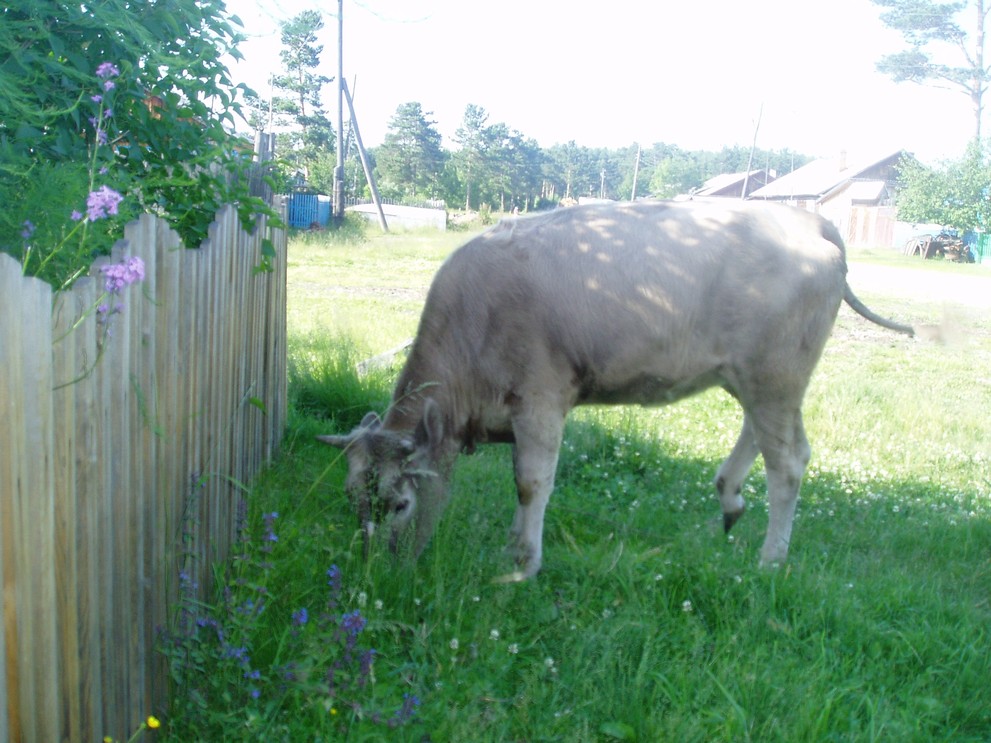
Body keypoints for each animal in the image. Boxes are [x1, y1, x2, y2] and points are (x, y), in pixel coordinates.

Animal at [319, 200, 914, 581]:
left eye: (400, 503)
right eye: (351, 497)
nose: (380, 568)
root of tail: (805, 217)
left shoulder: (541, 401)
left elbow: (531, 483)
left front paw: (524, 563)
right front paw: (515, 545)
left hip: (775, 375)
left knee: (787, 462)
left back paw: (770, 560)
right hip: (758, 377)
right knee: (771, 439)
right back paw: (730, 496)